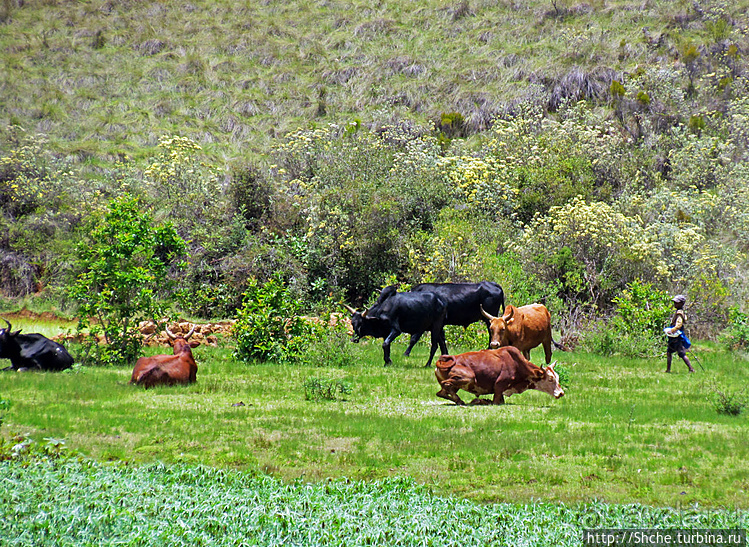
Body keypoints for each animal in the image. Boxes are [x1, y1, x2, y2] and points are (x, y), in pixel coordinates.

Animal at [432, 348, 560, 404]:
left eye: (557, 377)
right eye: (550, 379)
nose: (561, 393)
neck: (517, 363)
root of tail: (442, 361)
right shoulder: (499, 387)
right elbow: (495, 401)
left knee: (441, 393)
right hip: (469, 377)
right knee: (446, 384)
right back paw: (461, 401)